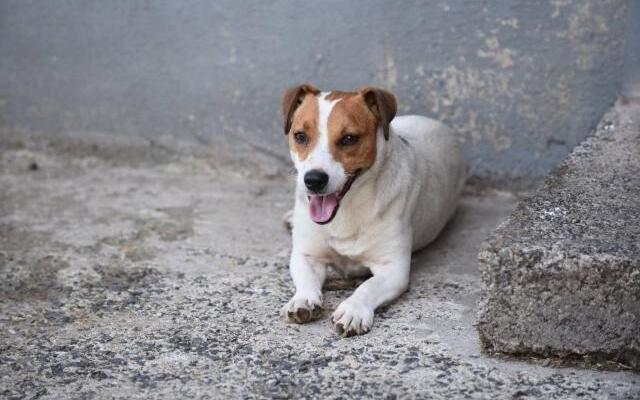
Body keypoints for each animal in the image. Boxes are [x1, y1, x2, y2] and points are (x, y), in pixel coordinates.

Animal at [280, 84, 464, 338]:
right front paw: (303, 300)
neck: (346, 210)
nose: (314, 180)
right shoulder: (307, 255)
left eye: (349, 138)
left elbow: (368, 287)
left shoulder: (393, 269)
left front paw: (353, 310)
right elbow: (306, 281)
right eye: (300, 136)